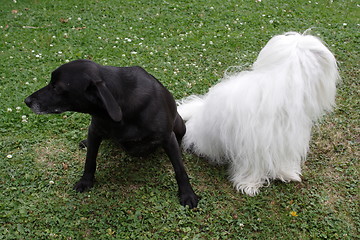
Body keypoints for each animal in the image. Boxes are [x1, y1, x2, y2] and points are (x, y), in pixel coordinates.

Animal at [24, 60, 200, 208]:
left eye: (56, 87)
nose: (27, 101)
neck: (121, 104)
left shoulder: (167, 137)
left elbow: (180, 169)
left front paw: (187, 194)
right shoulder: (94, 130)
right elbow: (90, 160)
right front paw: (86, 181)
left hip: (179, 126)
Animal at [179, 31, 338, 196]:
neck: (284, 84)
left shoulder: (284, 139)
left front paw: (286, 174)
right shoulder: (252, 144)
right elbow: (251, 166)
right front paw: (249, 185)